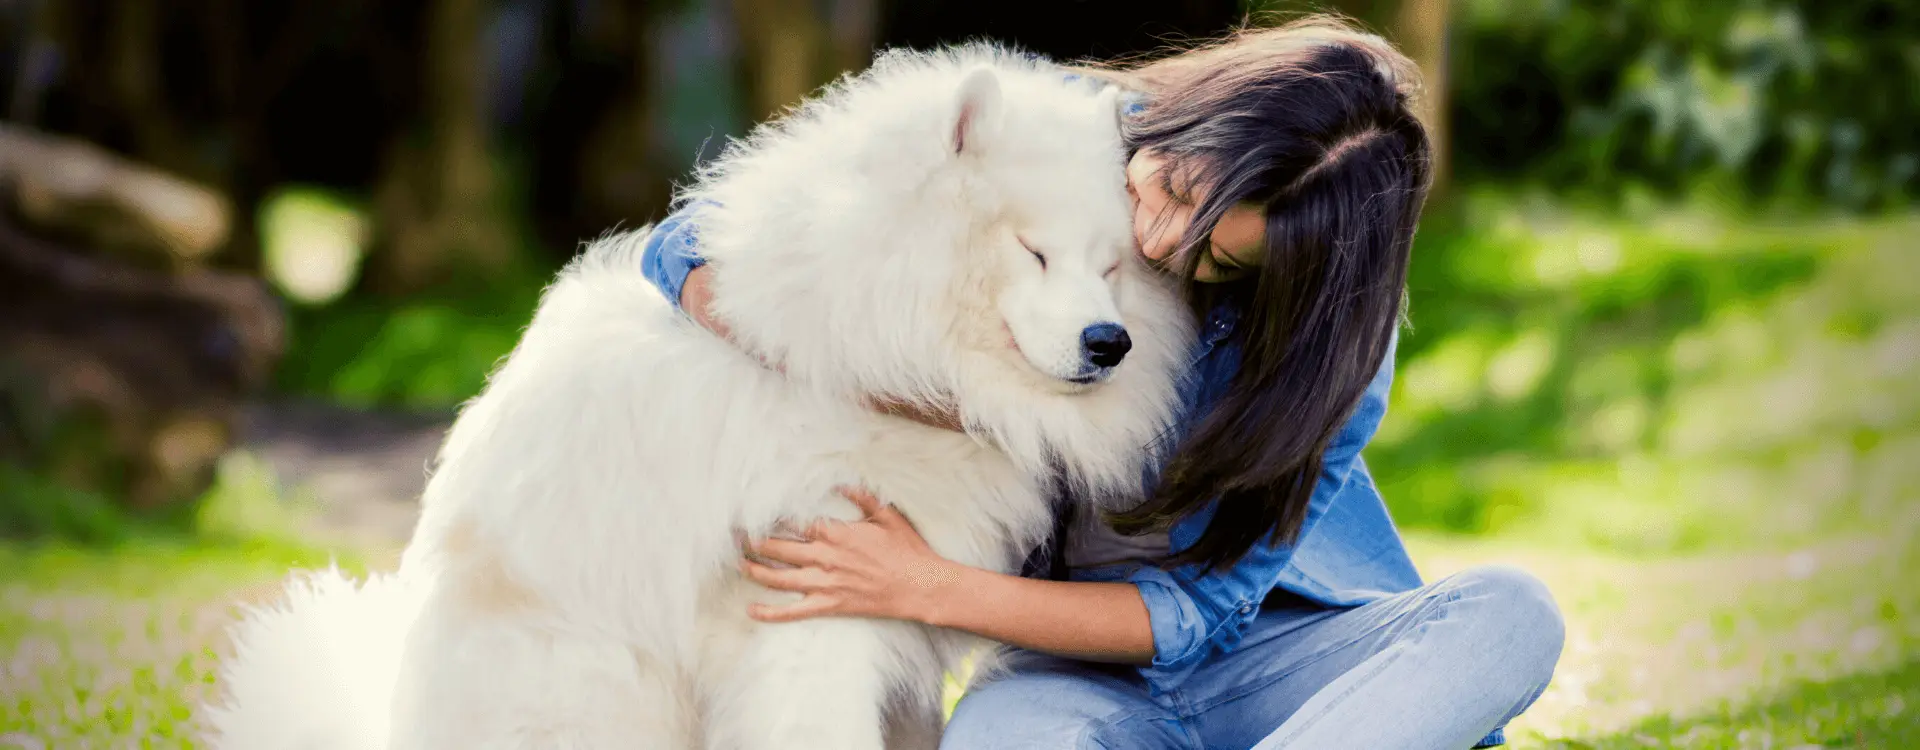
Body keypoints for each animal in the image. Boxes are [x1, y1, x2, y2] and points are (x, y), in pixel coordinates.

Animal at [214, 46, 1198, 750]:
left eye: (1113, 265)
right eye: (1034, 251)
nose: (1110, 343)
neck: (869, 362)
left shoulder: (901, 611)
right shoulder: (808, 622)